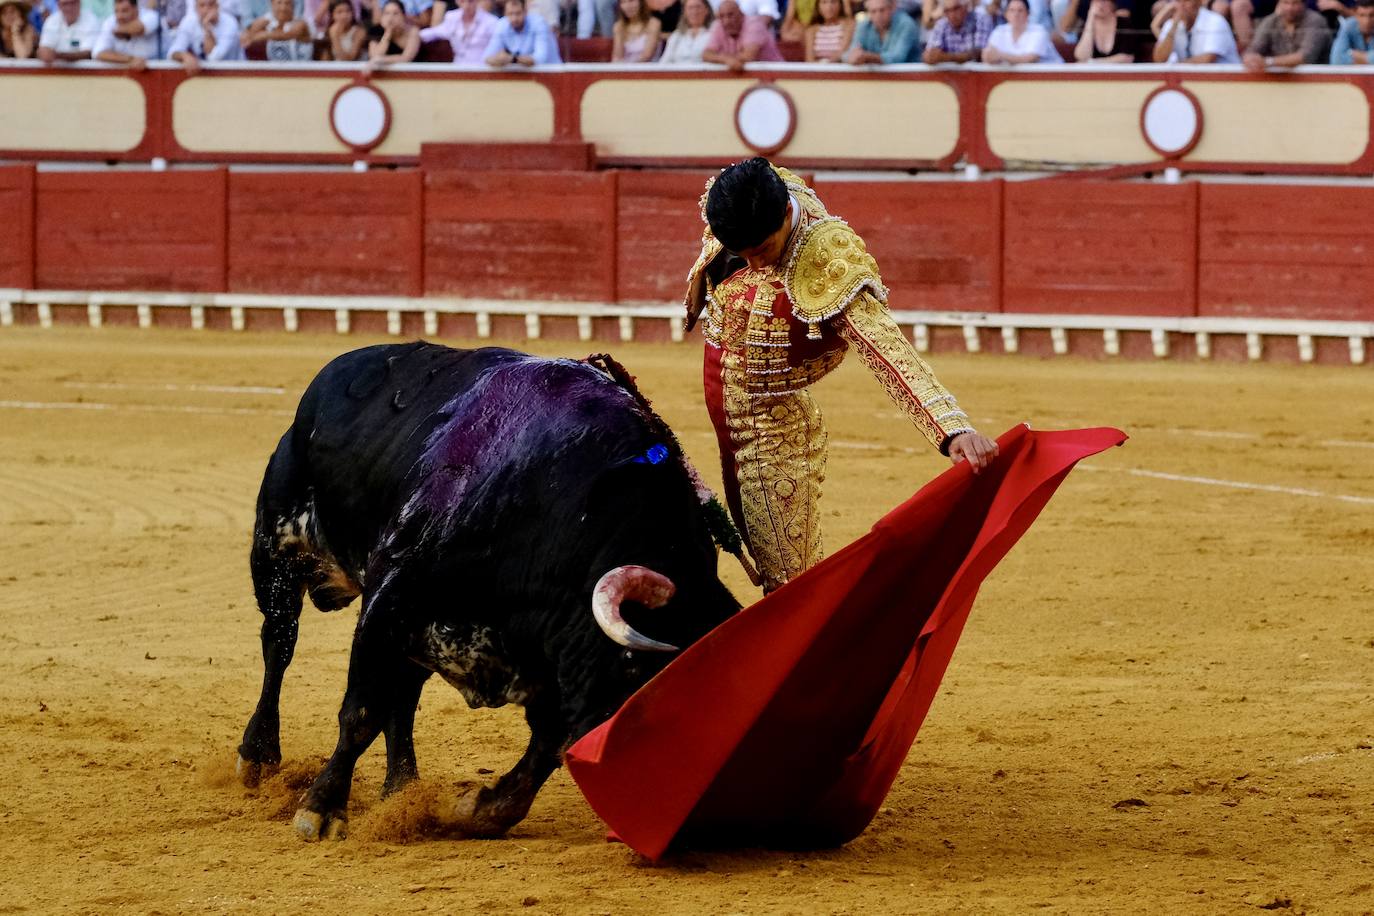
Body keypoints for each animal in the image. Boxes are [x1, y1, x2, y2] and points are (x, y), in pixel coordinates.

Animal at [236, 341, 741, 840]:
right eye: (640, 673)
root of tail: (329, 378)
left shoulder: (550, 663)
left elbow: (544, 750)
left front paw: (478, 810)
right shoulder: (390, 596)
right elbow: (361, 712)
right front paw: (321, 810)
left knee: (403, 696)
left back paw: (403, 791)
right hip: (279, 552)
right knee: (279, 644)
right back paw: (258, 757)